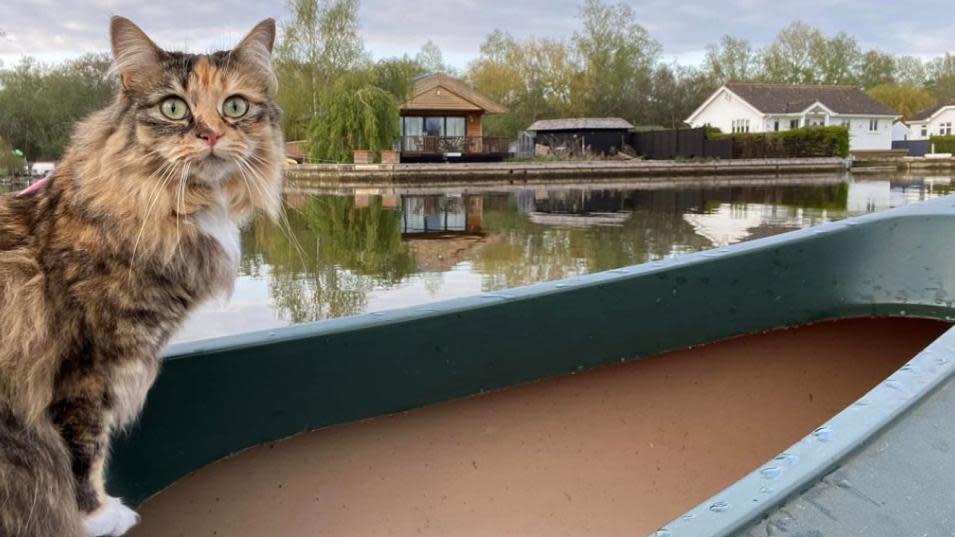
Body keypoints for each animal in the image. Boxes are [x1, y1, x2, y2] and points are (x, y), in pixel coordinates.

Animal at [0, 14, 284, 532]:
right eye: (174, 108)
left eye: (234, 106)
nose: (211, 135)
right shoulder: (84, 369)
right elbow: (83, 453)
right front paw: (96, 517)